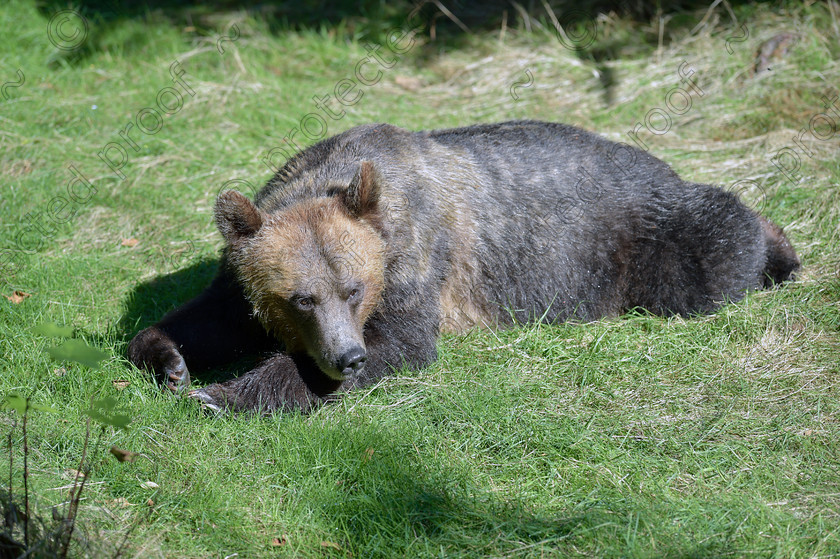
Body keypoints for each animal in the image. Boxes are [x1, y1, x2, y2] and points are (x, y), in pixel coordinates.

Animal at [126, 120, 800, 414]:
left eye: (353, 288)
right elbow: (214, 315)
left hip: (645, 235)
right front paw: (170, 360)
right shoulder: (248, 267)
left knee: (713, 248)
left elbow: (403, 342)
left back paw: (779, 254)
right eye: (300, 298)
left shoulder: (417, 257)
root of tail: (668, 167)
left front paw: (225, 394)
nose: (347, 358)